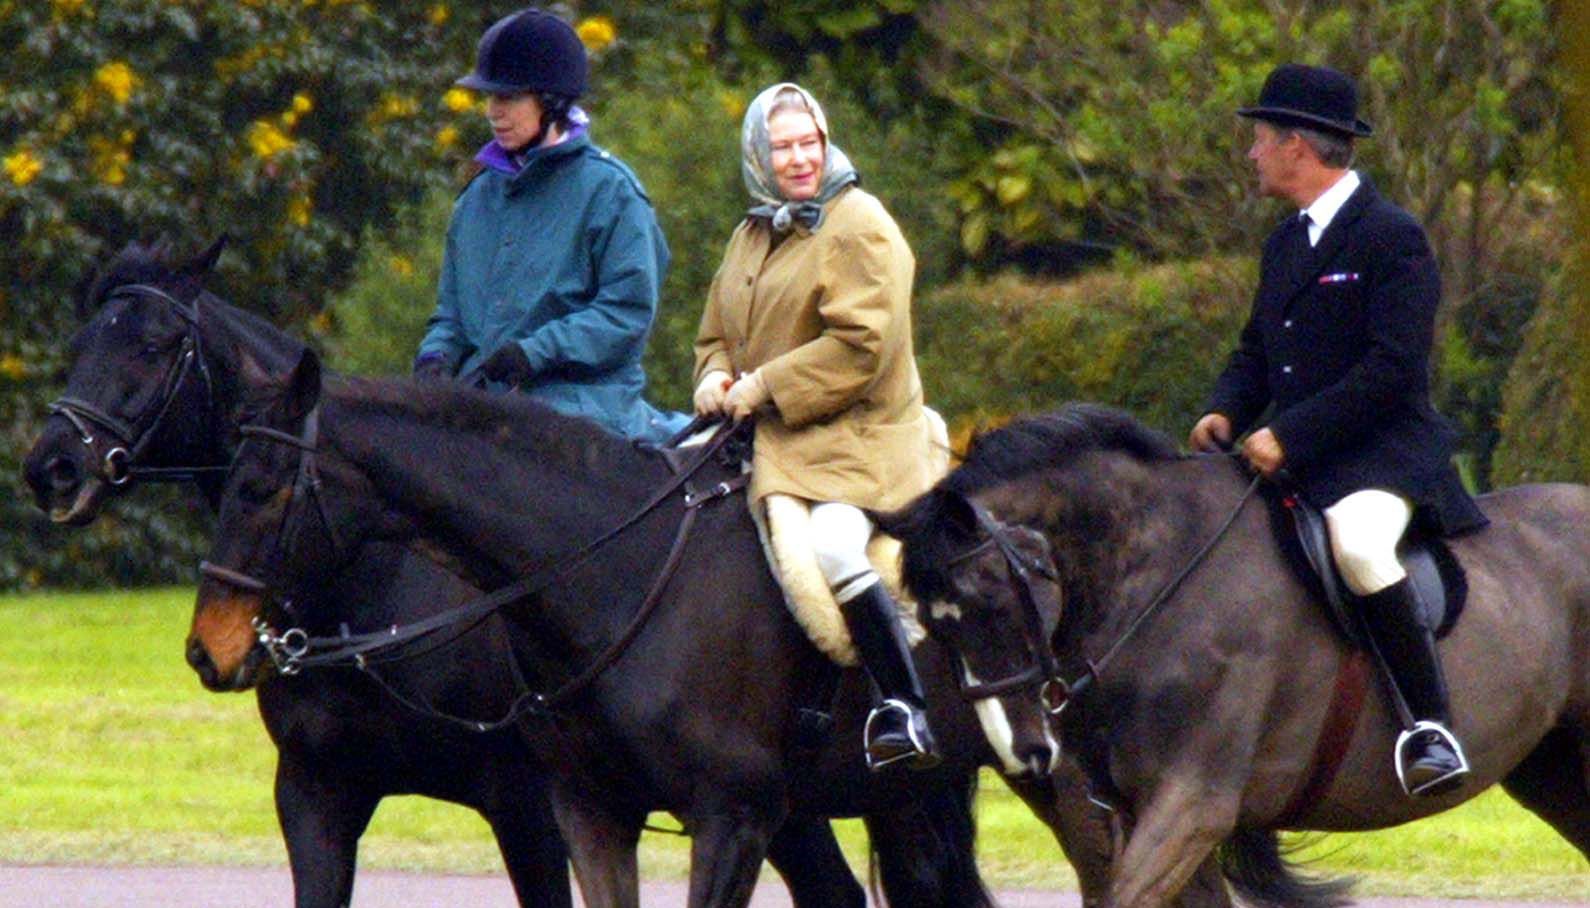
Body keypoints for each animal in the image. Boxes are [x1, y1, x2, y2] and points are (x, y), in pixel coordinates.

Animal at [879, 402, 1590, 907]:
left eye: (993, 603)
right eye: (933, 628)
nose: (1026, 752)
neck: (1161, 580)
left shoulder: (1193, 804)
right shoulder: (1146, 813)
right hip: (1550, 768)